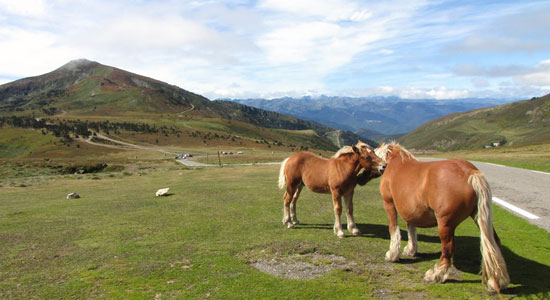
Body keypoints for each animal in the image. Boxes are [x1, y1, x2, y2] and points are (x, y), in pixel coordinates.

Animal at [378, 142, 512, 292]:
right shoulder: (411, 211)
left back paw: (435, 274)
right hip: (478, 216)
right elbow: (411, 228)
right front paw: (411, 249)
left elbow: (393, 229)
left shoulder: (389, 203)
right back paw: (497, 281)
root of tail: (470, 172)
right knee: (493, 242)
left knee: (448, 248)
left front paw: (392, 254)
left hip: (445, 224)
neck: (395, 162)